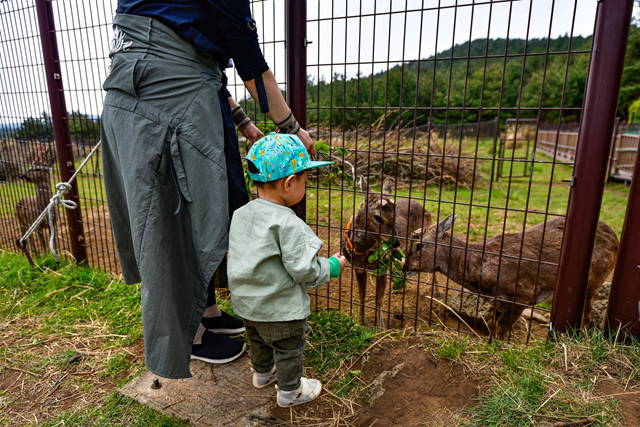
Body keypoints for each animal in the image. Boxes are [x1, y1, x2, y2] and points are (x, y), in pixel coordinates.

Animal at [342, 176, 432, 328]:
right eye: (377, 216)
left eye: (395, 215)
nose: (396, 242)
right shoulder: (359, 268)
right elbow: (361, 296)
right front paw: (360, 322)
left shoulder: (382, 269)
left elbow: (379, 299)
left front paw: (381, 327)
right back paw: (399, 289)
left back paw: (435, 293)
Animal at [402, 216, 616, 340]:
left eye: (419, 245)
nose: (405, 267)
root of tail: (614, 236)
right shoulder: (499, 302)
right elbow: (494, 329)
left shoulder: (521, 296)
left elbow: (500, 331)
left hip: (596, 275)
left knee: (590, 301)